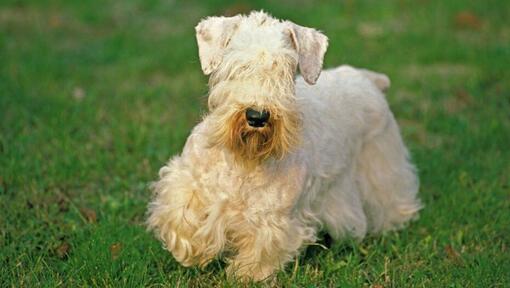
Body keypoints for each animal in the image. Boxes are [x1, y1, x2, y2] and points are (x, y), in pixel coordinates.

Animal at [145, 10, 420, 282]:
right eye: (237, 66)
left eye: (285, 70)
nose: (257, 116)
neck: (243, 159)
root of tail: (369, 79)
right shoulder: (186, 182)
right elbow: (181, 216)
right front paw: (194, 252)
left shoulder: (273, 219)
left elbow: (260, 251)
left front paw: (245, 276)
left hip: (382, 167)